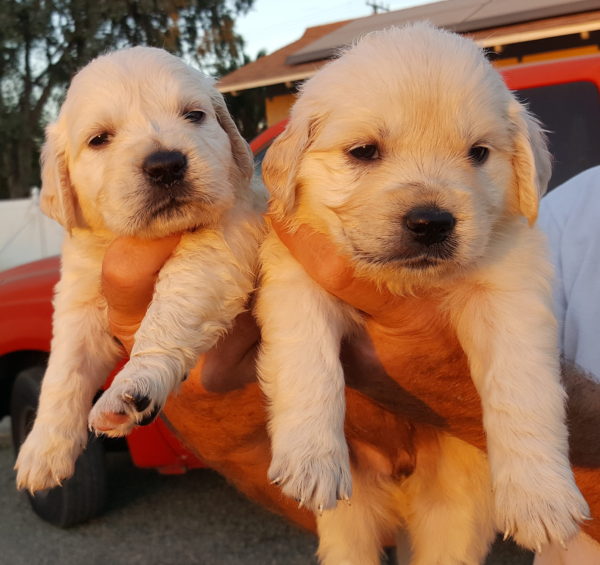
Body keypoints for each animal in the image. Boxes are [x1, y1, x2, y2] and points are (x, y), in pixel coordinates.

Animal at [13, 46, 262, 492]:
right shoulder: (80, 296)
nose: (166, 165)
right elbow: (64, 369)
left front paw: (134, 386)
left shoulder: (221, 243)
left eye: (194, 115)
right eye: (99, 139)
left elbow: (171, 310)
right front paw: (42, 449)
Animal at [255, 23, 588, 560]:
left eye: (478, 153)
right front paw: (310, 457)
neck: (407, 281)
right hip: (352, 518)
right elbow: (308, 361)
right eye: (364, 151)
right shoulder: (299, 277)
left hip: (453, 517)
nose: (431, 222)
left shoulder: (511, 295)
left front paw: (542, 499)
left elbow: (524, 388)